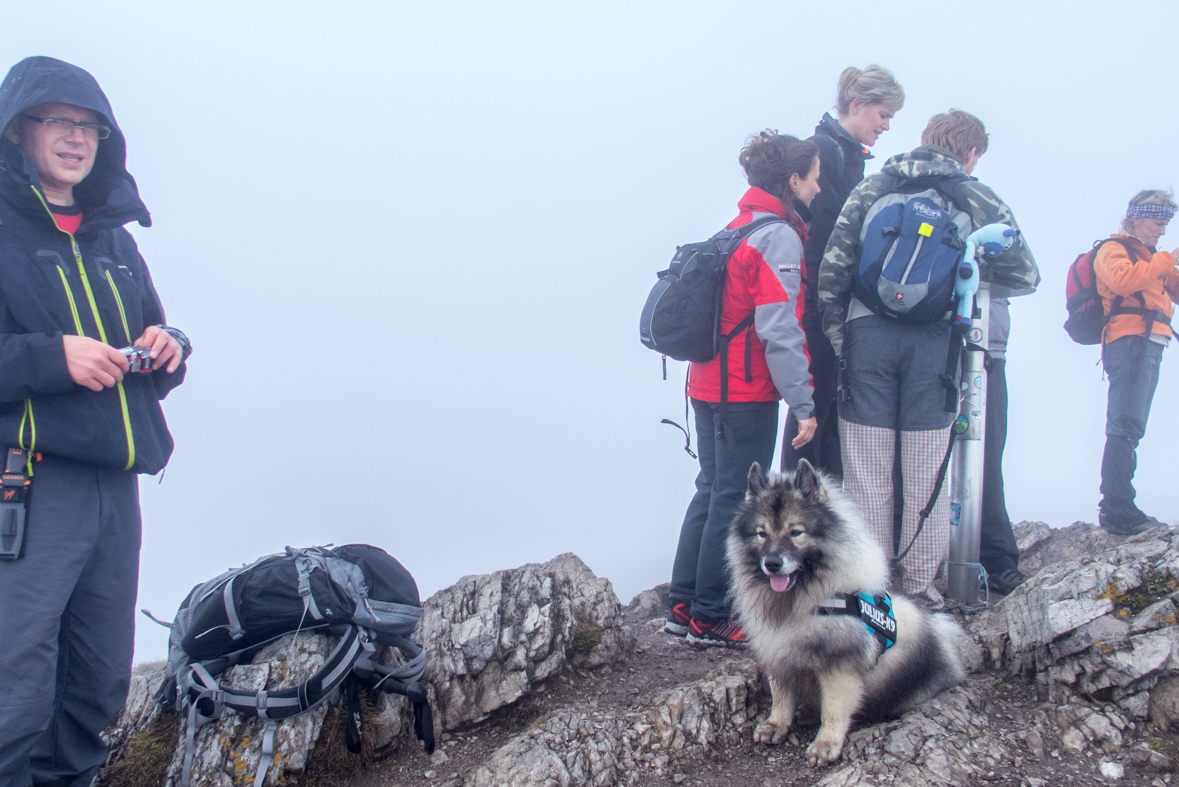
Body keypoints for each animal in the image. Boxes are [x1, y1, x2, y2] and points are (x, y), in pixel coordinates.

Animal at [726, 461, 966, 763]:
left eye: (796, 532)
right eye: (762, 533)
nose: (772, 563)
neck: (805, 601)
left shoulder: (838, 663)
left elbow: (834, 709)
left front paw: (826, 744)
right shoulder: (780, 653)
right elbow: (781, 696)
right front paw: (776, 724)